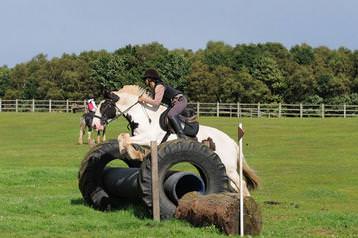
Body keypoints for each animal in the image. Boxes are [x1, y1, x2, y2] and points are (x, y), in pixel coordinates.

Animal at [92, 85, 260, 195]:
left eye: (105, 106)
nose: (94, 124)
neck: (144, 116)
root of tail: (232, 142)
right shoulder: (144, 141)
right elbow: (125, 137)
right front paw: (134, 154)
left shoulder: (147, 137)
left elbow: (124, 137)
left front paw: (131, 153)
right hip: (226, 167)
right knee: (236, 186)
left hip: (229, 167)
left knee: (242, 184)